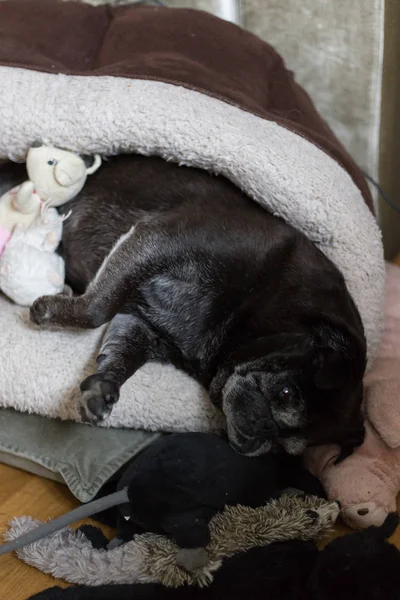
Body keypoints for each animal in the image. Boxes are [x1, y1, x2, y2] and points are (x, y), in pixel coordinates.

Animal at [0, 157, 366, 458]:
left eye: (285, 448)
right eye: (287, 392)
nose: (257, 440)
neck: (261, 295)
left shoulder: (140, 324)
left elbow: (120, 357)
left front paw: (103, 388)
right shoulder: (157, 240)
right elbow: (96, 310)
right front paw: (47, 310)